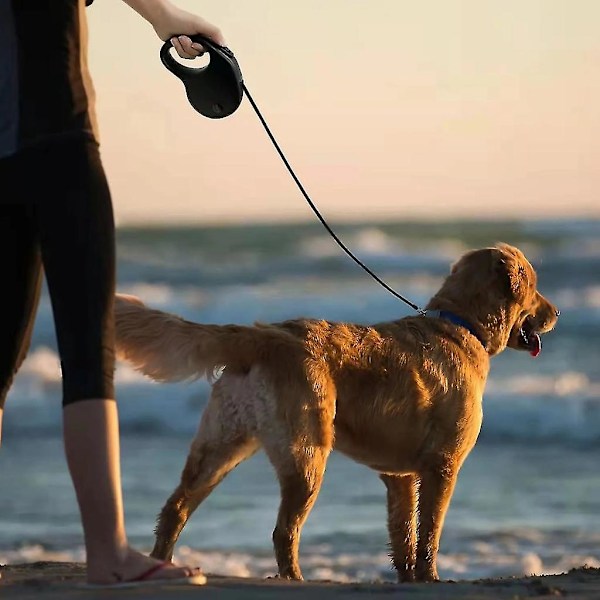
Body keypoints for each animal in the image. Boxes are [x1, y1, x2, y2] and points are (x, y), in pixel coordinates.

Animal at [116, 243, 556, 580]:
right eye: (535, 286)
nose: (557, 314)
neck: (461, 325)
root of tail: (264, 335)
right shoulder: (443, 465)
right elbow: (430, 531)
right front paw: (430, 577)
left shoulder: (399, 476)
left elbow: (404, 534)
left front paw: (407, 577)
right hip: (307, 455)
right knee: (283, 531)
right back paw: (293, 579)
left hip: (221, 446)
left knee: (175, 509)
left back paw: (161, 565)